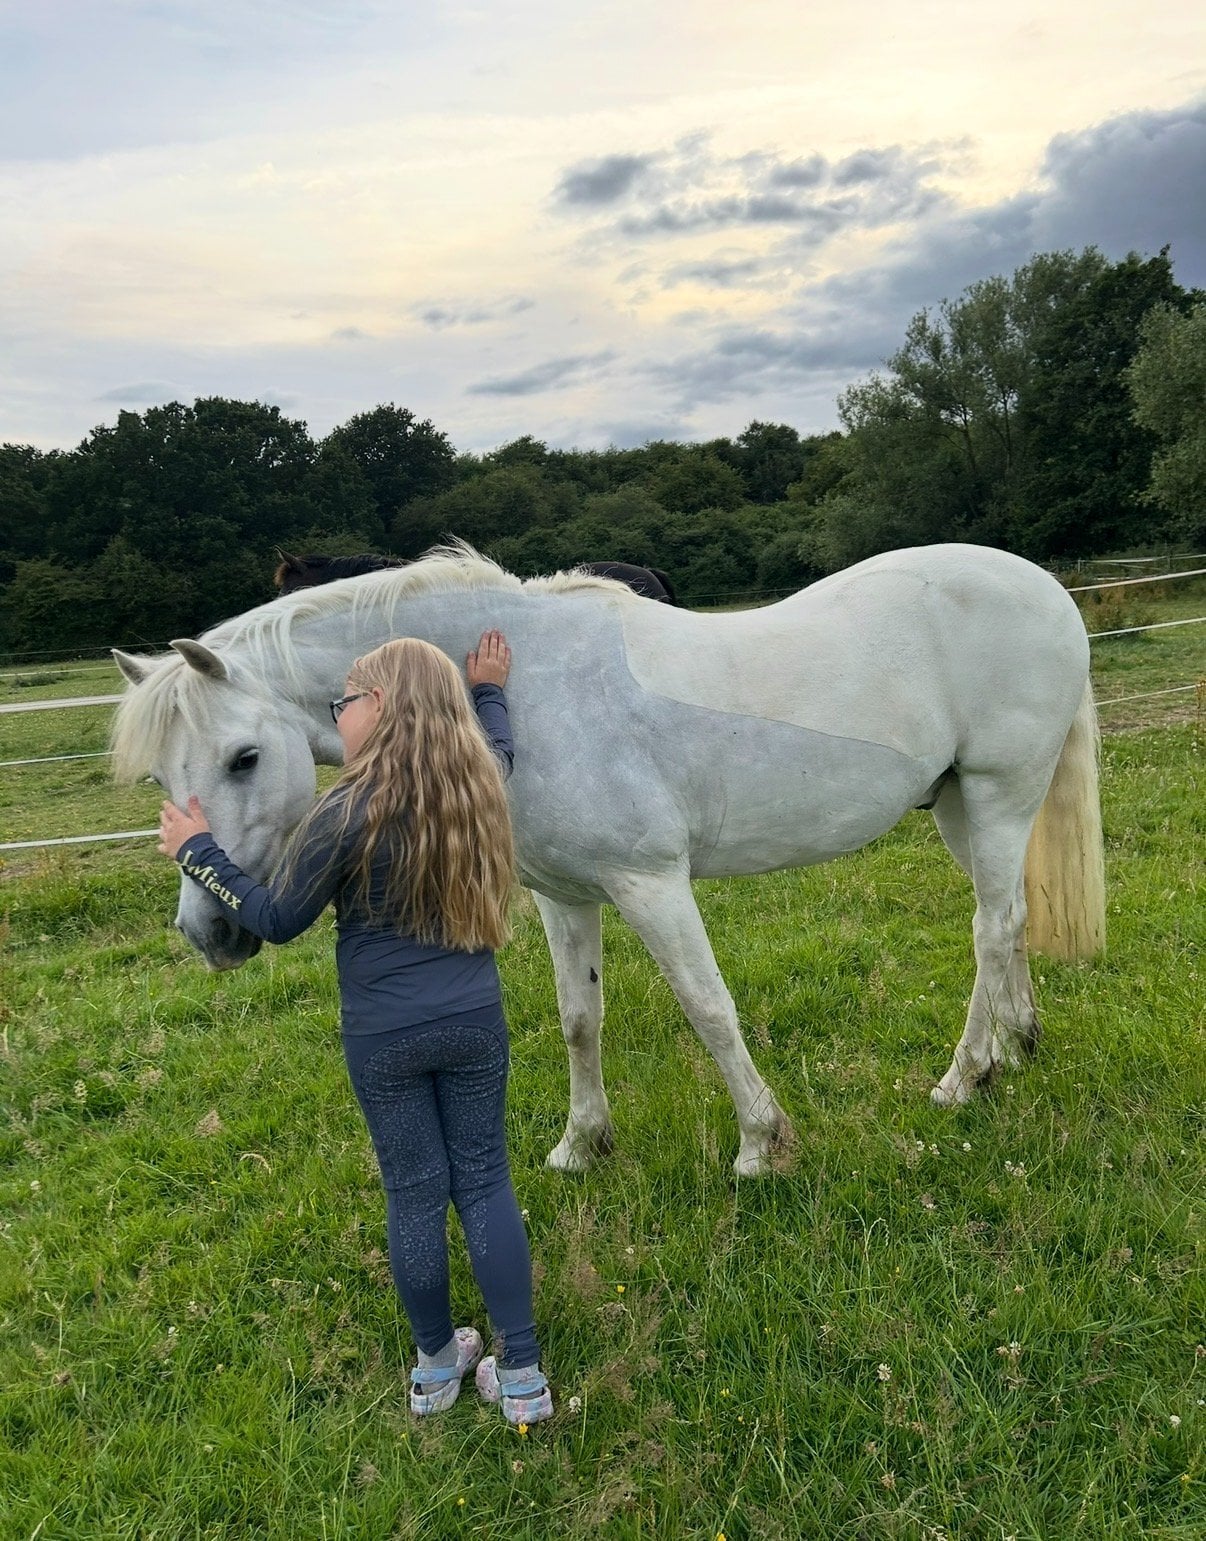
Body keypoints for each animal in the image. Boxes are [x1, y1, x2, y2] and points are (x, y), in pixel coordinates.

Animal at [111, 541, 1105, 1176]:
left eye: (244, 757)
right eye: (162, 773)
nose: (210, 931)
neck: (535, 691)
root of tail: (1046, 589)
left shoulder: (650, 882)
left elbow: (708, 1006)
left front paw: (760, 1142)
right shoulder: (565, 894)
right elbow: (578, 1019)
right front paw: (581, 1145)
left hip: (1002, 791)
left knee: (990, 928)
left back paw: (962, 1078)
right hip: (959, 804)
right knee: (1009, 919)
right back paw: (1015, 1047)